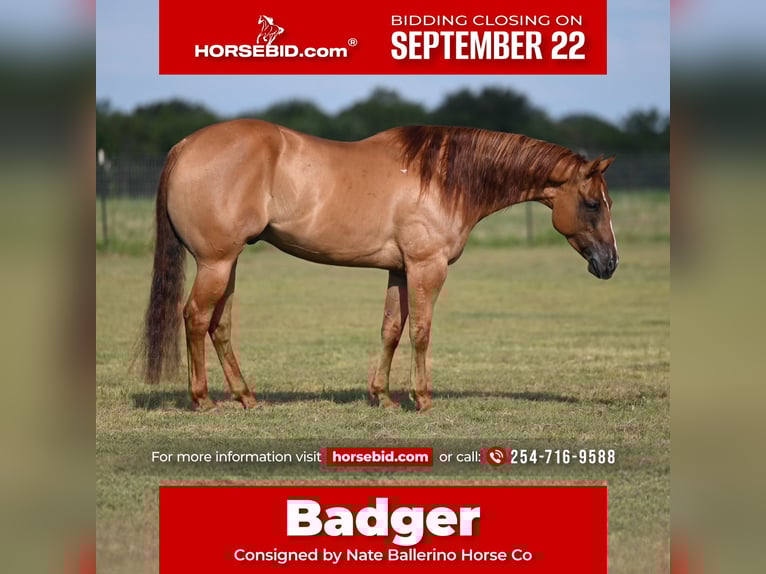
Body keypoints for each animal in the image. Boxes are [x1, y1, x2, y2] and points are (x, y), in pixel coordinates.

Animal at [141, 120, 617, 412]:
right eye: (593, 204)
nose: (610, 263)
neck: (442, 178)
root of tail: (186, 145)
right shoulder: (427, 268)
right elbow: (421, 330)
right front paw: (422, 397)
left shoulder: (400, 271)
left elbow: (391, 328)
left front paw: (383, 396)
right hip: (216, 263)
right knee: (195, 318)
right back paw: (203, 399)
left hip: (228, 263)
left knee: (218, 325)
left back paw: (246, 396)